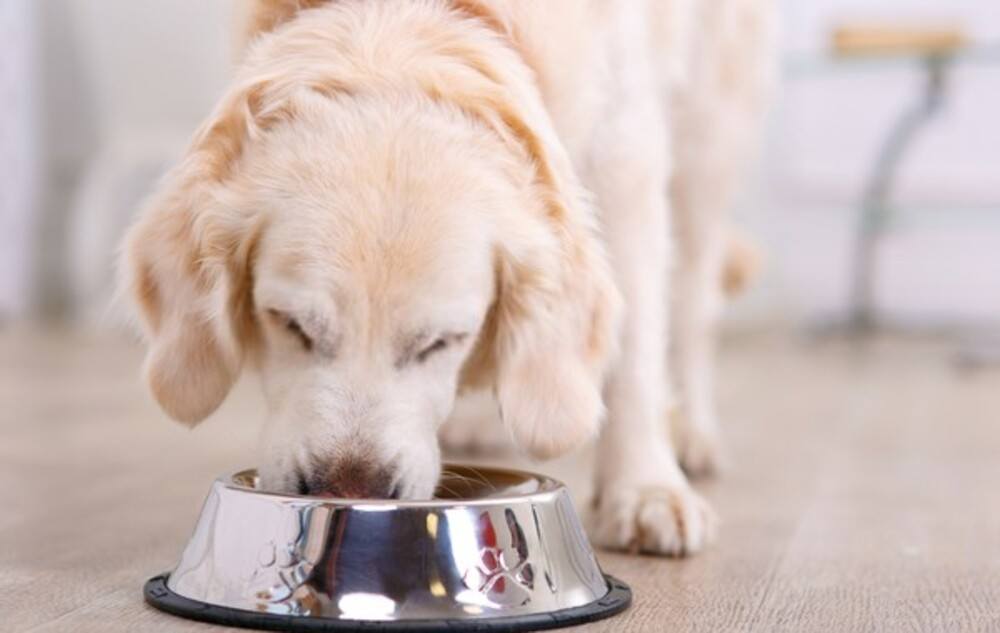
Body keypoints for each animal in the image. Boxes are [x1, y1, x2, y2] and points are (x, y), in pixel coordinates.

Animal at [117, 0, 772, 552]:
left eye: (442, 341)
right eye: (290, 324)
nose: (350, 492)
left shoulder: (626, 156)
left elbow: (635, 350)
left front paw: (645, 489)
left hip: (707, 139)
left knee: (692, 303)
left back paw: (692, 435)